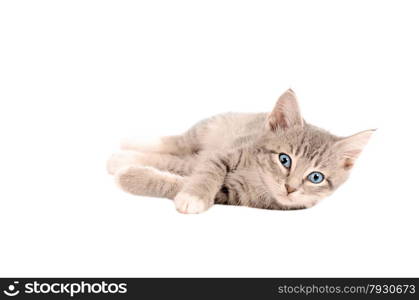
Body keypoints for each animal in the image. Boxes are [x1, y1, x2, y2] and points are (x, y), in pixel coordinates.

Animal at [107, 89, 374, 213]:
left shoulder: (231, 195)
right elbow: (205, 173)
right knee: (175, 144)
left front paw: (130, 175)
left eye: (315, 177)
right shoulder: (222, 154)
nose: (290, 188)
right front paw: (194, 194)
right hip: (207, 129)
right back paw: (129, 145)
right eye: (284, 159)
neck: (257, 179)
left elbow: (175, 180)